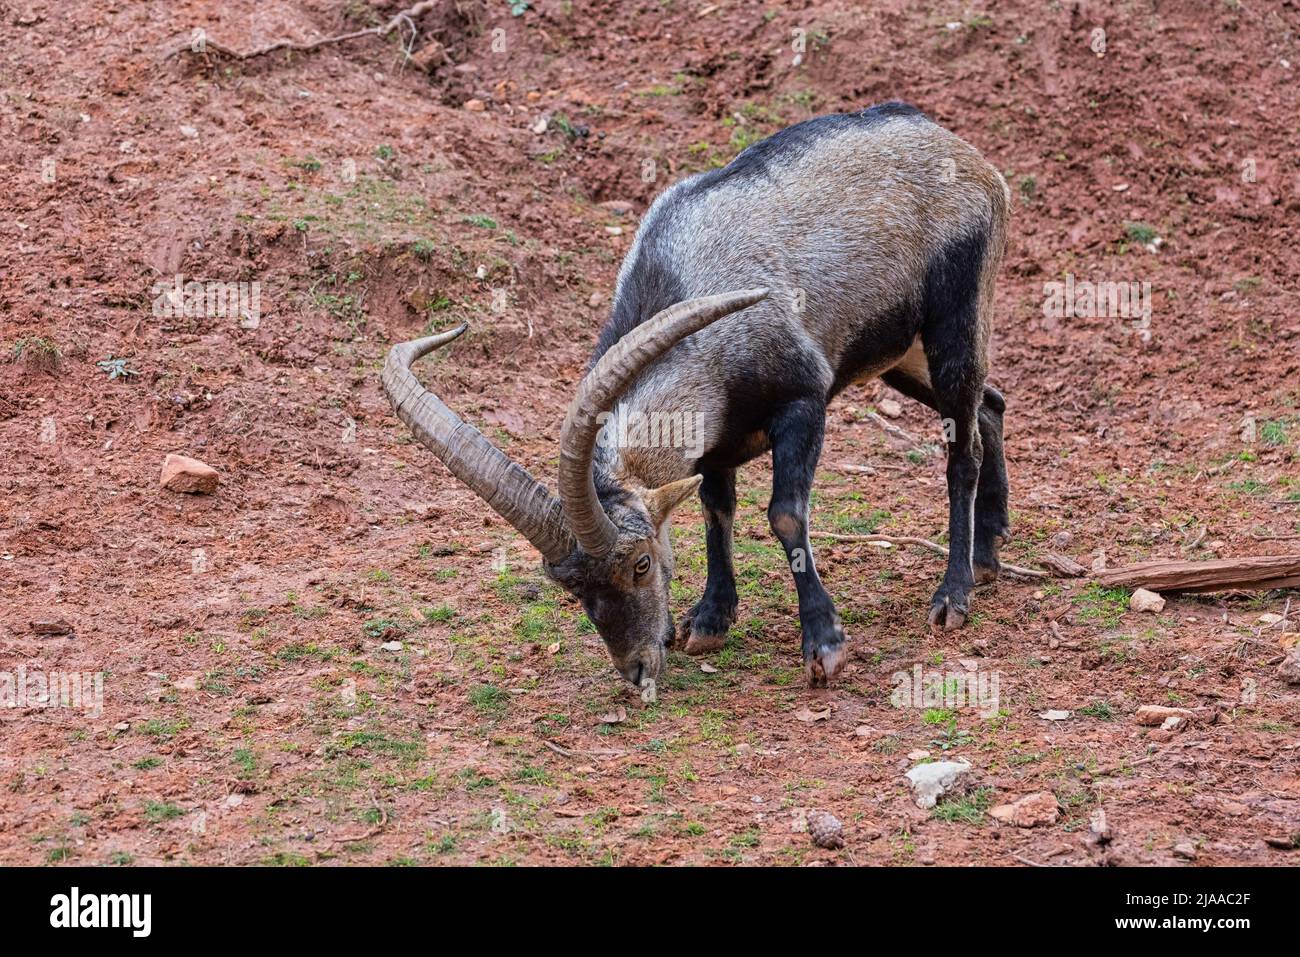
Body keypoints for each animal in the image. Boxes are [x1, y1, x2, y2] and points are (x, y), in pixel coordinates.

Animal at [384, 102, 1011, 692]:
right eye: (570, 588)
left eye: (640, 564)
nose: (637, 669)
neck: (681, 281)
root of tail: (973, 162)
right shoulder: (713, 441)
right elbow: (715, 508)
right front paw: (709, 619)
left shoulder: (802, 403)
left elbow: (786, 515)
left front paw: (824, 645)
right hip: (903, 358)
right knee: (991, 405)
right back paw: (988, 552)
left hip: (955, 323)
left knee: (963, 451)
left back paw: (953, 594)